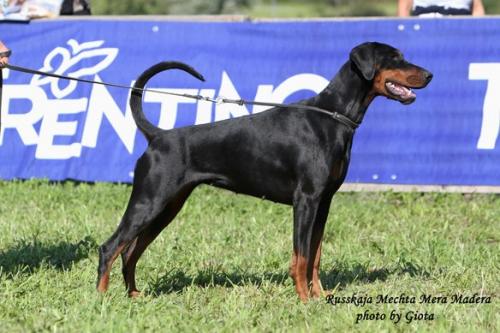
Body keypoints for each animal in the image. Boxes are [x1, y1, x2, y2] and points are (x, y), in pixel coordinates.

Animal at [96, 41, 430, 300]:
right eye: (395, 58)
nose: (430, 74)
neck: (333, 115)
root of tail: (158, 136)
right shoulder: (306, 200)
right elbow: (301, 257)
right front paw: (304, 299)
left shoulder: (324, 203)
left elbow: (316, 255)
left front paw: (320, 295)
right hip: (148, 201)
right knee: (110, 247)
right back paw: (102, 298)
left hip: (167, 207)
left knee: (129, 251)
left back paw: (133, 294)